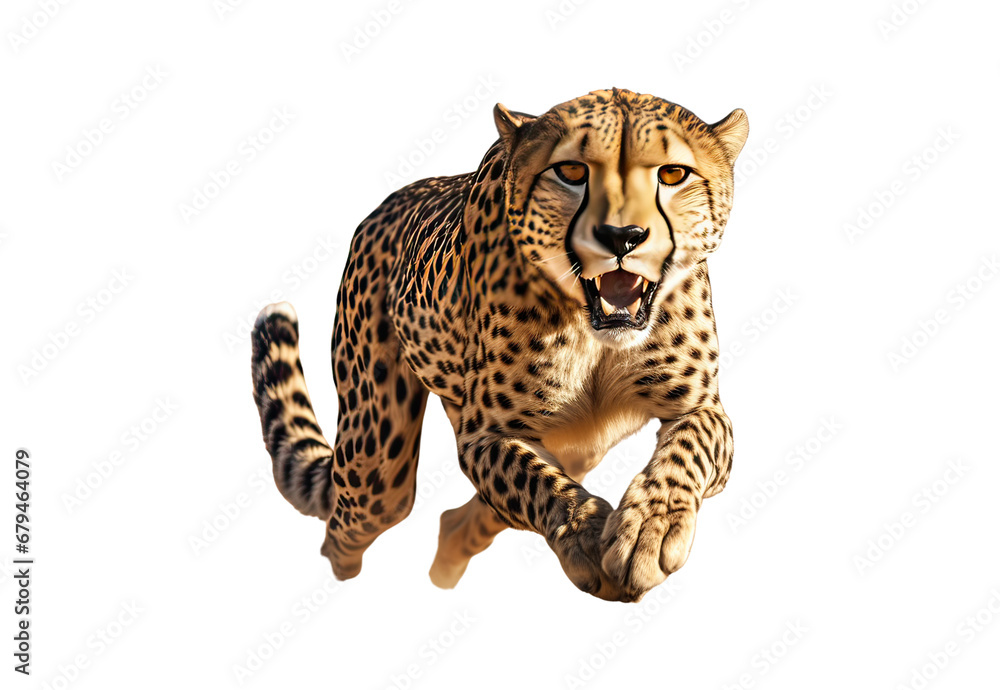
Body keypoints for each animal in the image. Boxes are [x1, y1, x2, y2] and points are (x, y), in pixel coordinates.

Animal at [250, 88, 748, 602]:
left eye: (672, 174)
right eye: (571, 172)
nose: (622, 237)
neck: (597, 334)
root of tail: (385, 206)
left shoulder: (702, 408)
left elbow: (688, 448)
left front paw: (651, 528)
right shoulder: (485, 434)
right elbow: (537, 482)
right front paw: (588, 535)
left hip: (577, 446)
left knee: (457, 523)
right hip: (376, 467)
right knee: (347, 530)